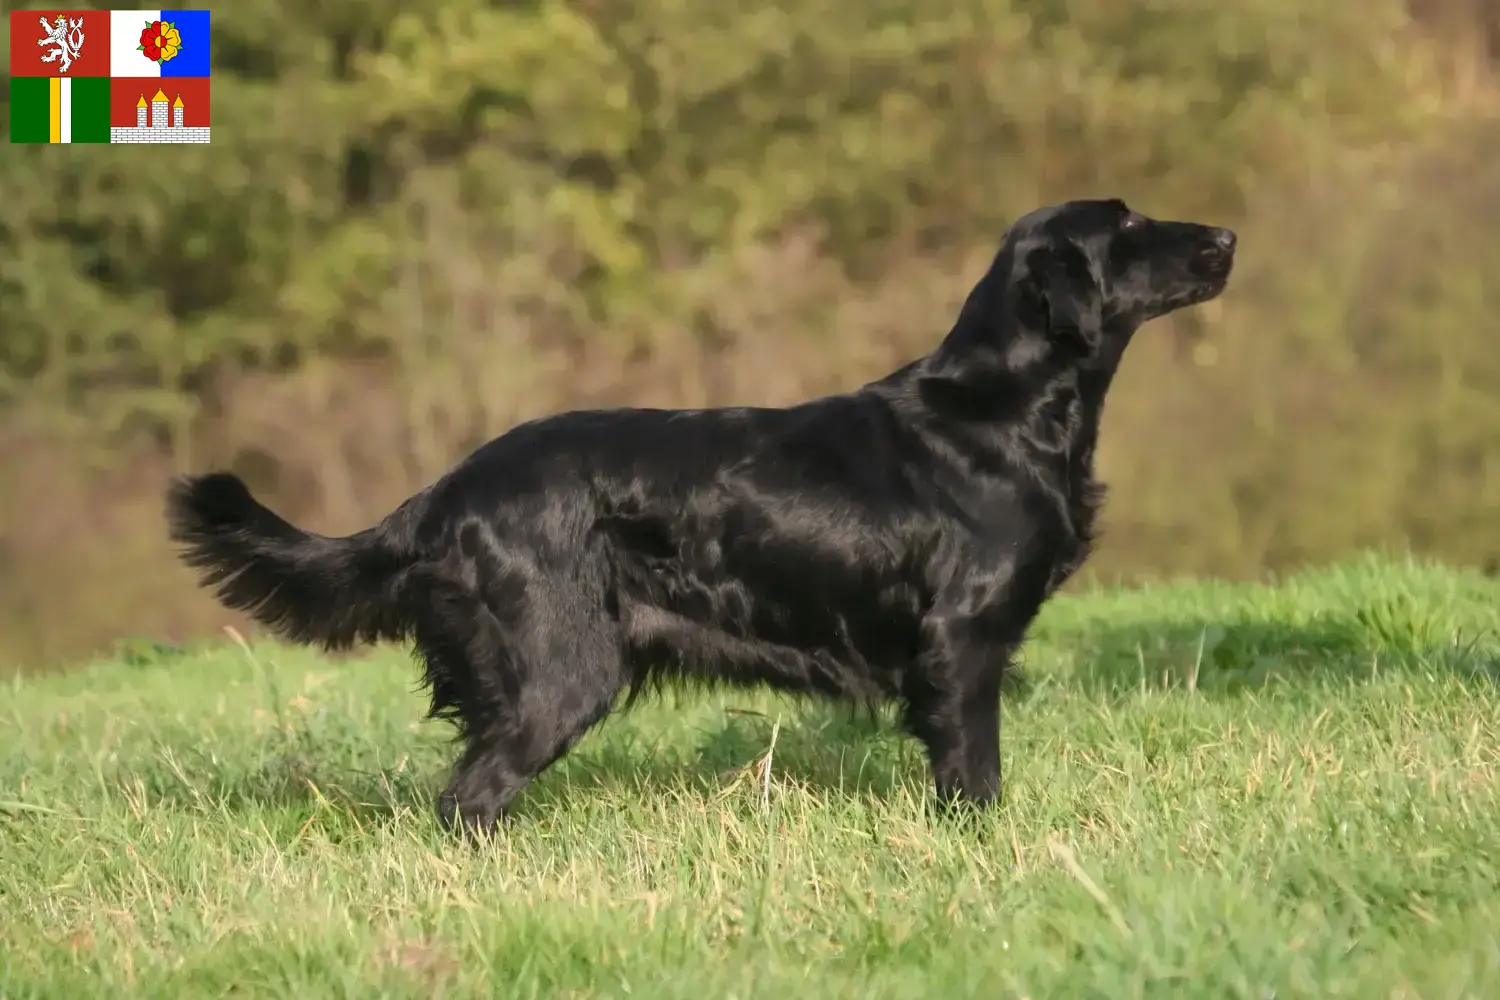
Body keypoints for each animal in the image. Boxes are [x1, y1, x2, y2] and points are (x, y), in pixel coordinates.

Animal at [170, 199, 1236, 833]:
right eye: (1125, 225)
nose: (1227, 235)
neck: (1000, 409)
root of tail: (446, 491)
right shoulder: (964, 640)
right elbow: (973, 770)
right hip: (562, 670)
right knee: (467, 796)